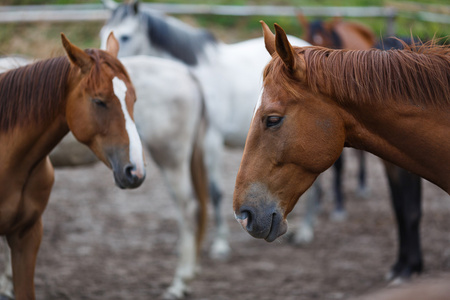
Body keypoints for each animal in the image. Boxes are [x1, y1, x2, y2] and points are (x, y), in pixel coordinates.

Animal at [98, 0, 310, 276]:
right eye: (103, 33)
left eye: (125, 36)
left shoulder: (211, 140)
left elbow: (215, 192)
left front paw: (220, 245)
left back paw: (306, 232)